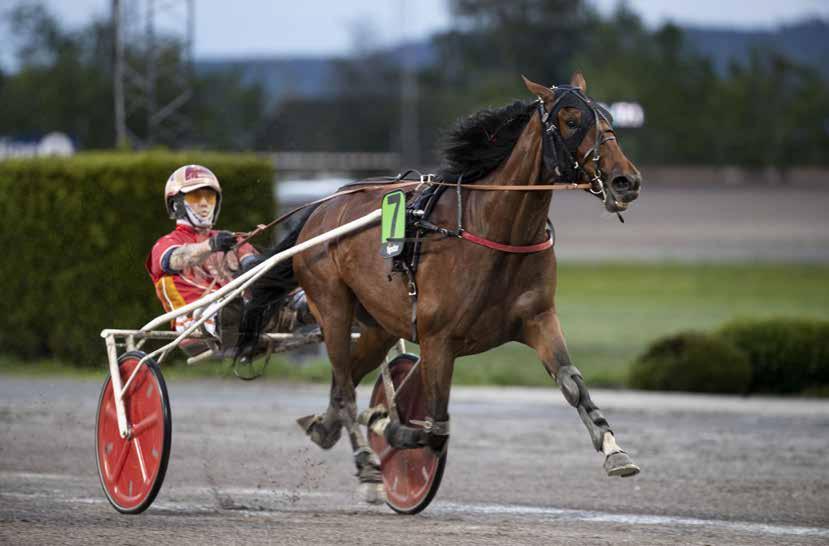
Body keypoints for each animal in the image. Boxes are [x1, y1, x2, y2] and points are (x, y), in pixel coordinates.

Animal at [239, 72, 640, 502]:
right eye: (571, 121)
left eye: (607, 117)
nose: (626, 180)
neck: (494, 230)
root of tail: (321, 207)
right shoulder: (438, 340)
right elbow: (434, 429)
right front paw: (386, 424)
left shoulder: (538, 318)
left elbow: (572, 383)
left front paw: (614, 450)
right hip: (332, 308)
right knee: (345, 390)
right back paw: (368, 463)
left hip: (379, 325)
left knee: (341, 383)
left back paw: (326, 428)